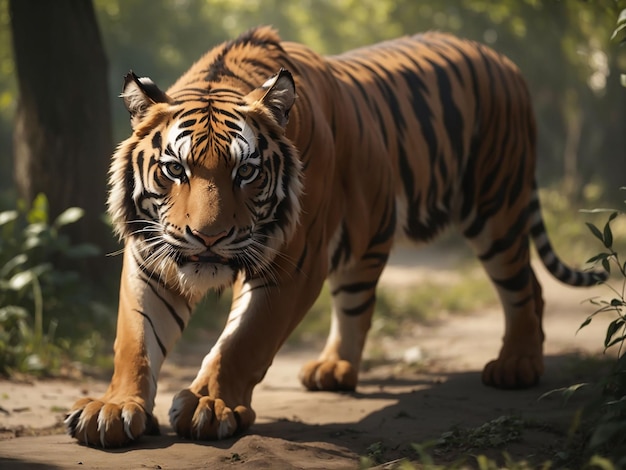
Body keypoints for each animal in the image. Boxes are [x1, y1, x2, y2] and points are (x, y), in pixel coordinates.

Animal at [64, 26, 604, 448]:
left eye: (246, 172)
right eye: (175, 169)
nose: (209, 238)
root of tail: (505, 62)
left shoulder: (293, 260)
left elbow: (245, 340)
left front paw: (210, 404)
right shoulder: (151, 256)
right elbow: (135, 338)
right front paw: (113, 407)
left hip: (497, 208)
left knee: (526, 287)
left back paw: (517, 365)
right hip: (370, 240)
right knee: (358, 302)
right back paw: (333, 370)